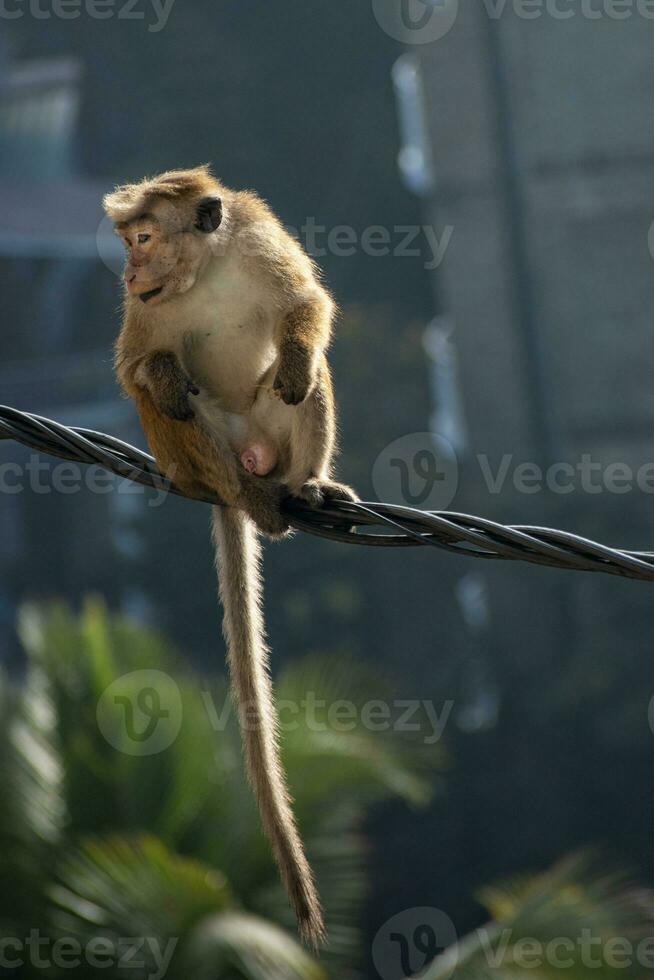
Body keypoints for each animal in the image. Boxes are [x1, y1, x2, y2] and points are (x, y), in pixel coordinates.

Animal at [103, 165, 358, 944]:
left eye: (143, 239)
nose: (128, 272)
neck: (204, 270)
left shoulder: (258, 242)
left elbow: (306, 305)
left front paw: (299, 355)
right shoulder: (145, 317)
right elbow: (136, 366)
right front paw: (157, 376)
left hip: (270, 432)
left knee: (303, 386)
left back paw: (305, 486)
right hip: (194, 462)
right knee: (177, 408)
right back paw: (252, 500)